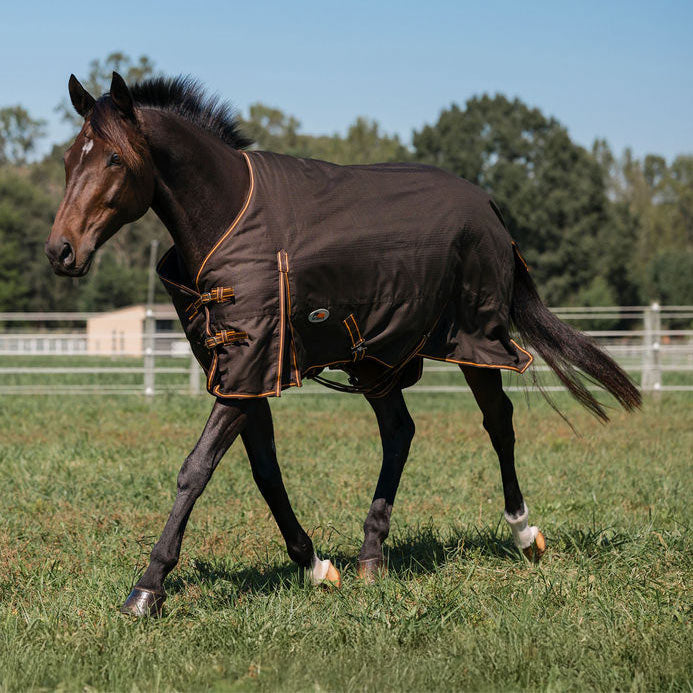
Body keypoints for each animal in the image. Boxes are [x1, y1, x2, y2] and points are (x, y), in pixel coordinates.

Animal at [46, 72, 641, 617]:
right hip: (376, 358)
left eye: (115, 160)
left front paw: (147, 589)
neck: (230, 216)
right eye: (71, 159)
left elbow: (196, 469)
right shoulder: (244, 372)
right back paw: (370, 554)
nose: (61, 251)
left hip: (475, 341)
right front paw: (313, 565)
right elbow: (265, 472)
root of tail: (490, 207)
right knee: (400, 432)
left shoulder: (248, 370)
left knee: (499, 422)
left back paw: (522, 532)